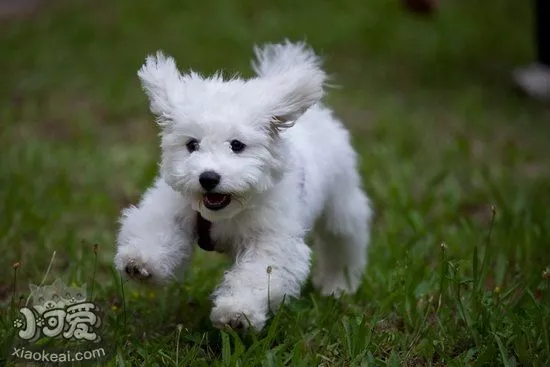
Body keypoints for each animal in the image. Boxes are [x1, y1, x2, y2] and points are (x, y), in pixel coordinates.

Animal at [116, 41, 376, 332]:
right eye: (192, 144)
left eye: (237, 145)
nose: (208, 177)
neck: (227, 211)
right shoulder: (173, 206)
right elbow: (156, 229)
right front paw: (140, 261)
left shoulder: (271, 240)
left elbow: (257, 275)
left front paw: (236, 313)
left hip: (341, 203)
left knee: (343, 241)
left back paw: (338, 285)